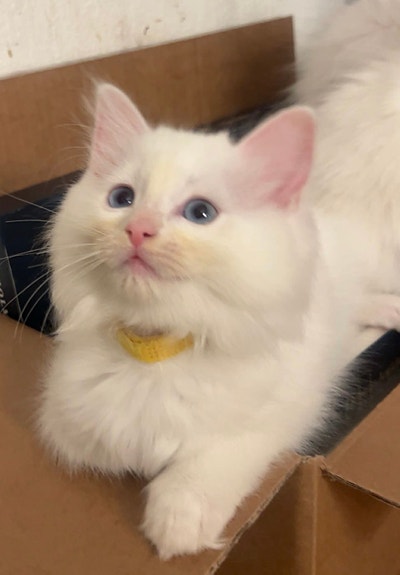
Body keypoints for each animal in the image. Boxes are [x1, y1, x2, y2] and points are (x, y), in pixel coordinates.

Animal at [36, 83, 367, 559]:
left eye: (200, 213)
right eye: (122, 199)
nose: (138, 228)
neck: (155, 347)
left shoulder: (286, 409)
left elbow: (216, 455)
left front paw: (178, 521)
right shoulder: (67, 423)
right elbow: (104, 449)